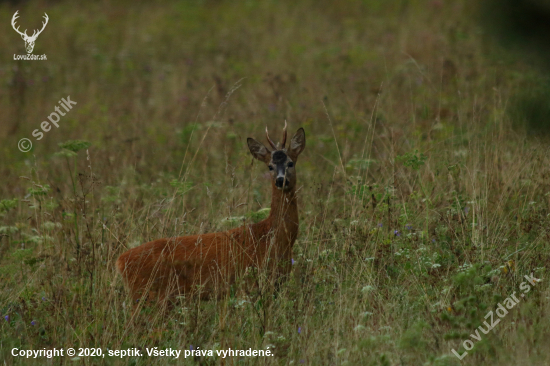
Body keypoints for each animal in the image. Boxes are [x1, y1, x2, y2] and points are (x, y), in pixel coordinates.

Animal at [116, 124, 306, 304]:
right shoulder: (250, 284)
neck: (273, 236)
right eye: (270, 166)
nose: (281, 180)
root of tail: (120, 261)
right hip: (149, 295)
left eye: (291, 163)